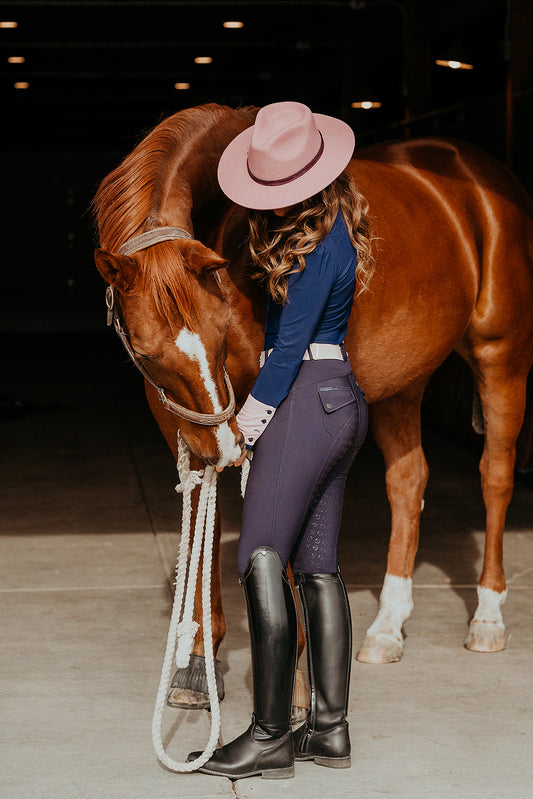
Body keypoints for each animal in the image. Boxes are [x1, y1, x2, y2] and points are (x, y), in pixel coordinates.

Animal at [93, 103, 532, 708]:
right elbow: (208, 515)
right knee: (408, 482)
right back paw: (387, 628)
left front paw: (296, 683)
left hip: (501, 354)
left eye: (218, 330)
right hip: (401, 383)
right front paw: (198, 667)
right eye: (145, 352)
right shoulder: (185, 423)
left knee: (494, 475)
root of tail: (481, 173)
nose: (227, 444)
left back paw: (488, 617)